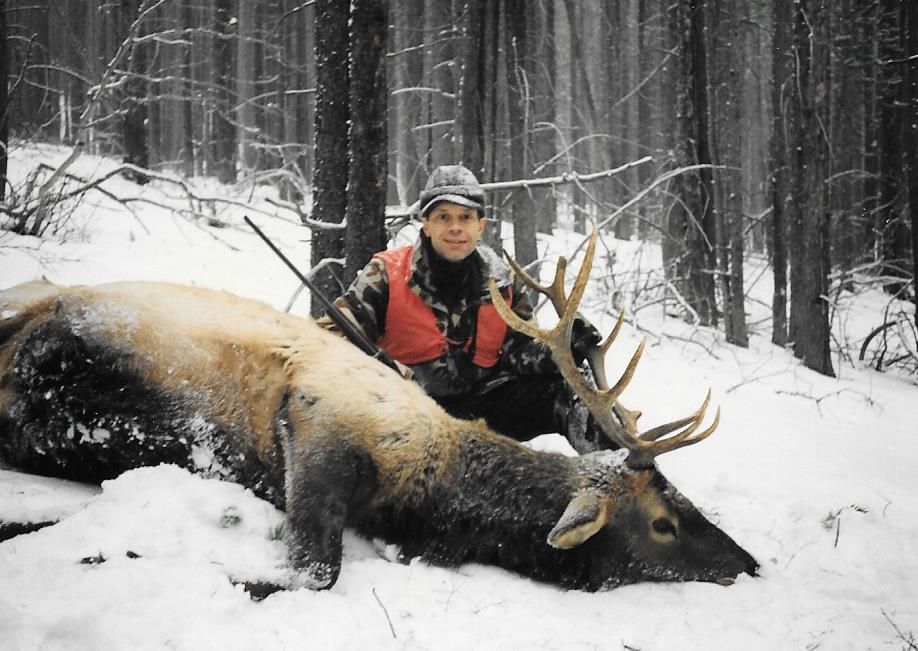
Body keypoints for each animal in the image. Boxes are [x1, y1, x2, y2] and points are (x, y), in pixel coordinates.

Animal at [0, 232, 757, 591]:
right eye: (662, 521)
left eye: (684, 498)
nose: (749, 562)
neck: (432, 495)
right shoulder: (318, 420)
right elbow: (314, 571)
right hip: (41, 310)